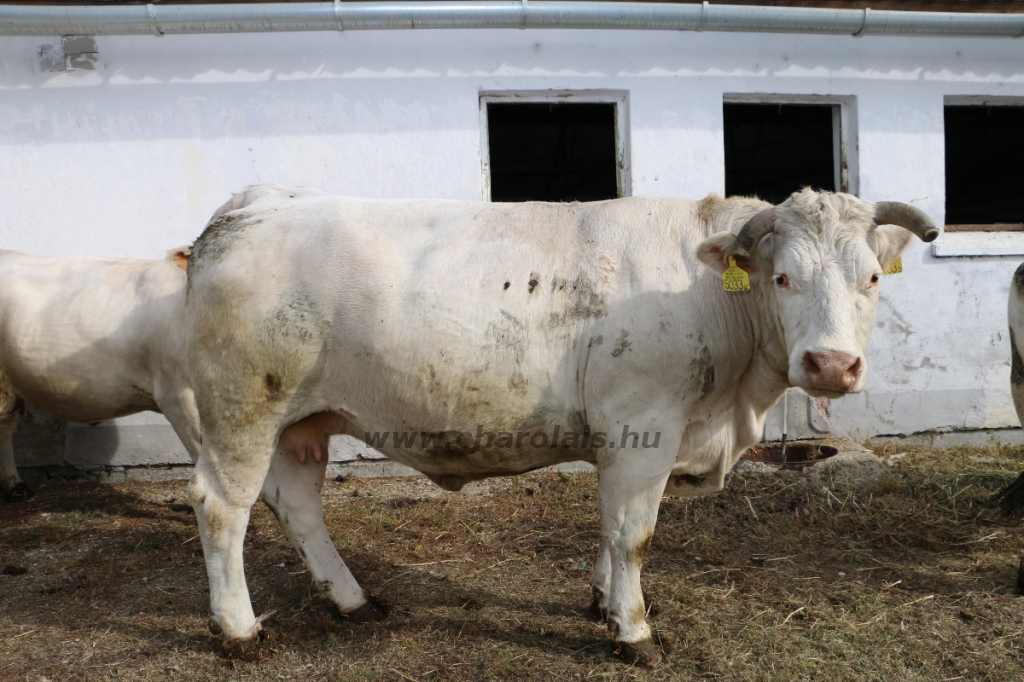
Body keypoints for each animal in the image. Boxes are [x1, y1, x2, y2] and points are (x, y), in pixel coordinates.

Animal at [184, 186, 937, 663]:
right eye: (782, 278)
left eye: (872, 277)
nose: (831, 364)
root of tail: (258, 204)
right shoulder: (643, 426)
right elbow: (634, 534)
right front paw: (633, 633)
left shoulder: (620, 440)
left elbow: (608, 529)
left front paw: (602, 602)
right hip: (242, 411)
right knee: (222, 509)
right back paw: (239, 632)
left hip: (302, 423)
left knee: (297, 506)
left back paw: (352, 601)